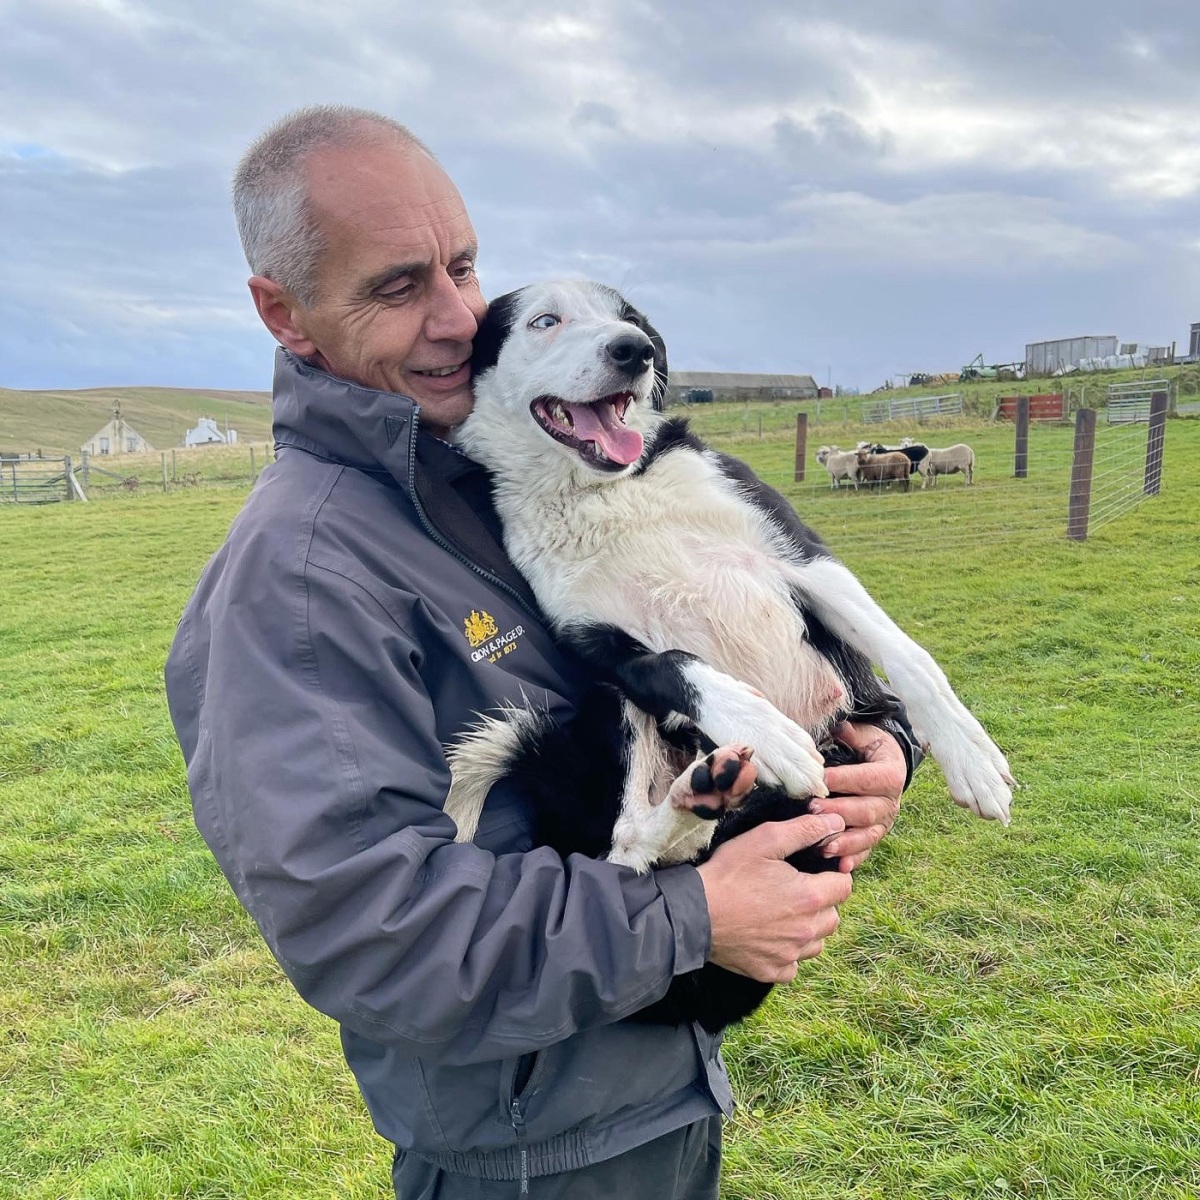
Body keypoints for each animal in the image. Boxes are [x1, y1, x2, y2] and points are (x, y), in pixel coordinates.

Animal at [446, 280, 1014, 1031]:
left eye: (629, 320)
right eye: (545, 320)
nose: (635, 351)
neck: (603, 489)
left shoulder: (804, 558)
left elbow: (910, 657)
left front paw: (969, 753)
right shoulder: (603, 650)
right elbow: (676, 663)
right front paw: (764, 728)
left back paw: (712, 791)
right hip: (610, 710)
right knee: (629, 848)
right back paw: (703, 791)